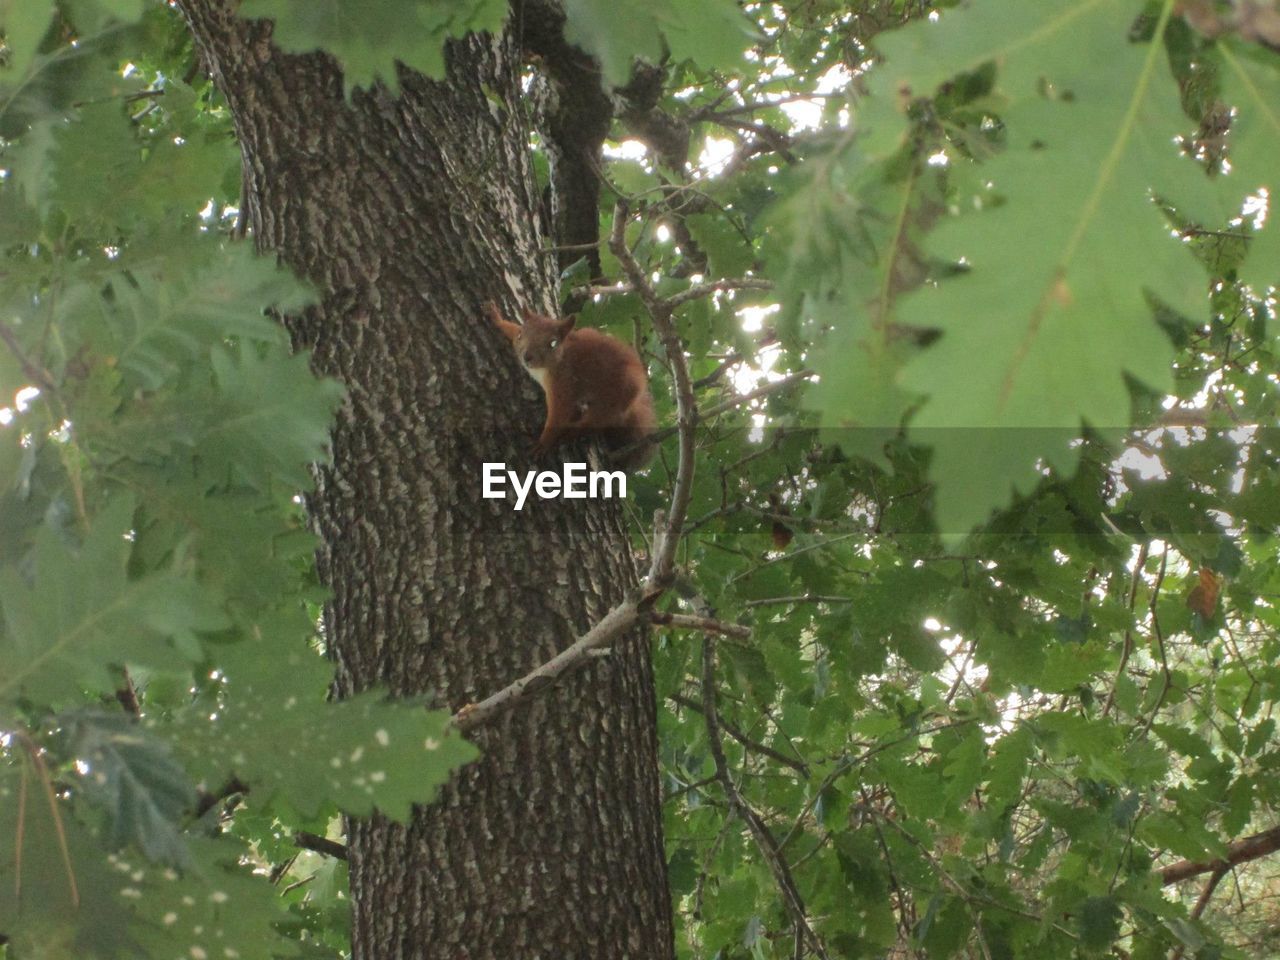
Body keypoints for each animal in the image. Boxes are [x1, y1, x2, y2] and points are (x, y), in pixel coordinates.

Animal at [483, 302, 655, 471]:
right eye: (521, 334)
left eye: (552, 343)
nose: (527, 356)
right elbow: (510, 329)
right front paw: (497, 318)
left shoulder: (564, 384)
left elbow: (559, 414)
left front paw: (544, 443)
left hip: (613, 398)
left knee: (594, 422)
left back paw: (570, 433)